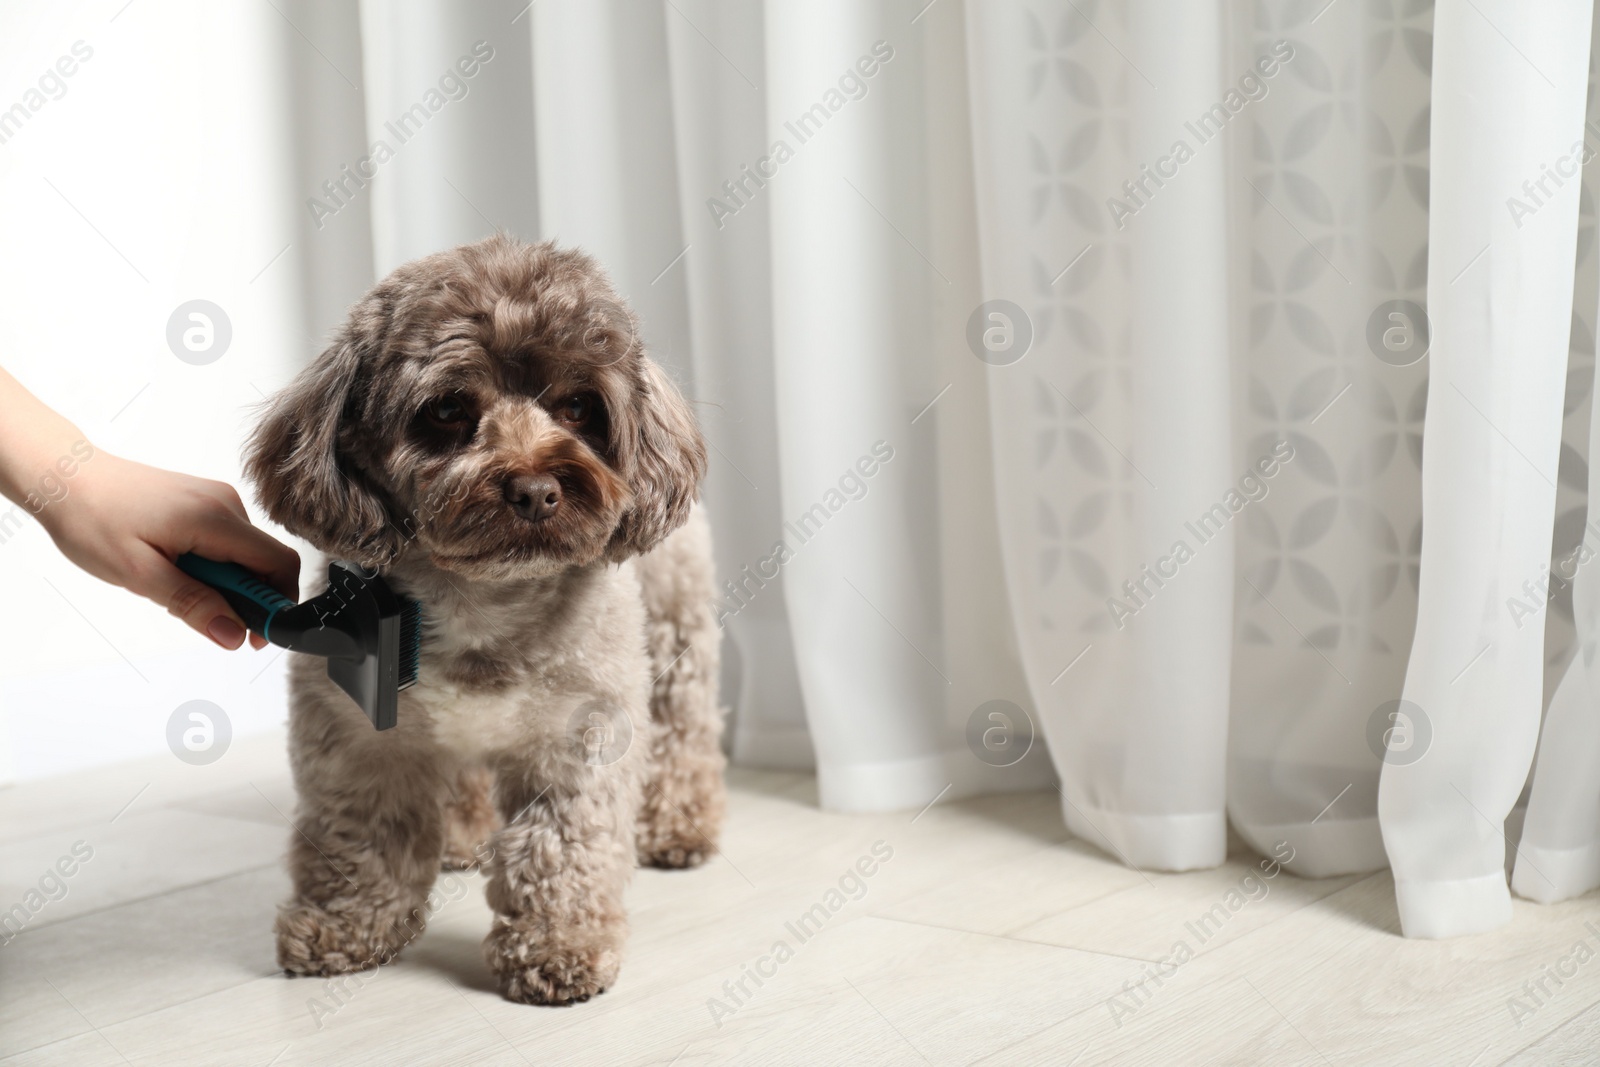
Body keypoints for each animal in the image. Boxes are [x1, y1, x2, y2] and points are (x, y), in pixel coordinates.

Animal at [243, 235, 726, 1011]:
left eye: (580, 406)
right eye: (446, 410)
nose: (535, 488)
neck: (481, 601)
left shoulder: (579, 738)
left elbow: (561, 845)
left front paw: (558, 945)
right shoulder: (356, 739)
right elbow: (357, 839)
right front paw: (346, 926)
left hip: (677, 627)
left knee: (685, 725)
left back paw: (680, 822)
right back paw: (462, 835)